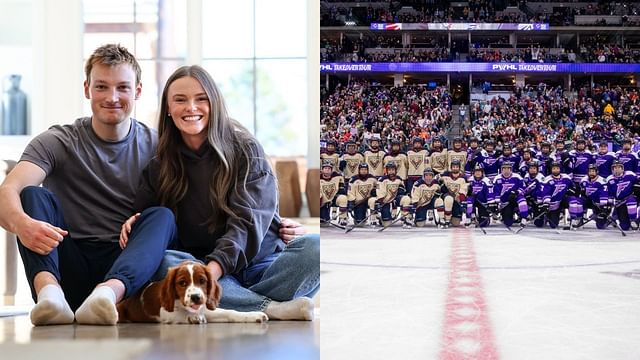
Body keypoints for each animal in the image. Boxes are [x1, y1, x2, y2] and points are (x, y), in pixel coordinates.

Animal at [117, 258, 268, 324]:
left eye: (202, 281)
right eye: (182, 283)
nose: (195, 297)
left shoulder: (204, 308)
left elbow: (229, 312)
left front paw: (253, 315)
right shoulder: (165, 311)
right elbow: (180, 314)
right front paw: (192, 317)